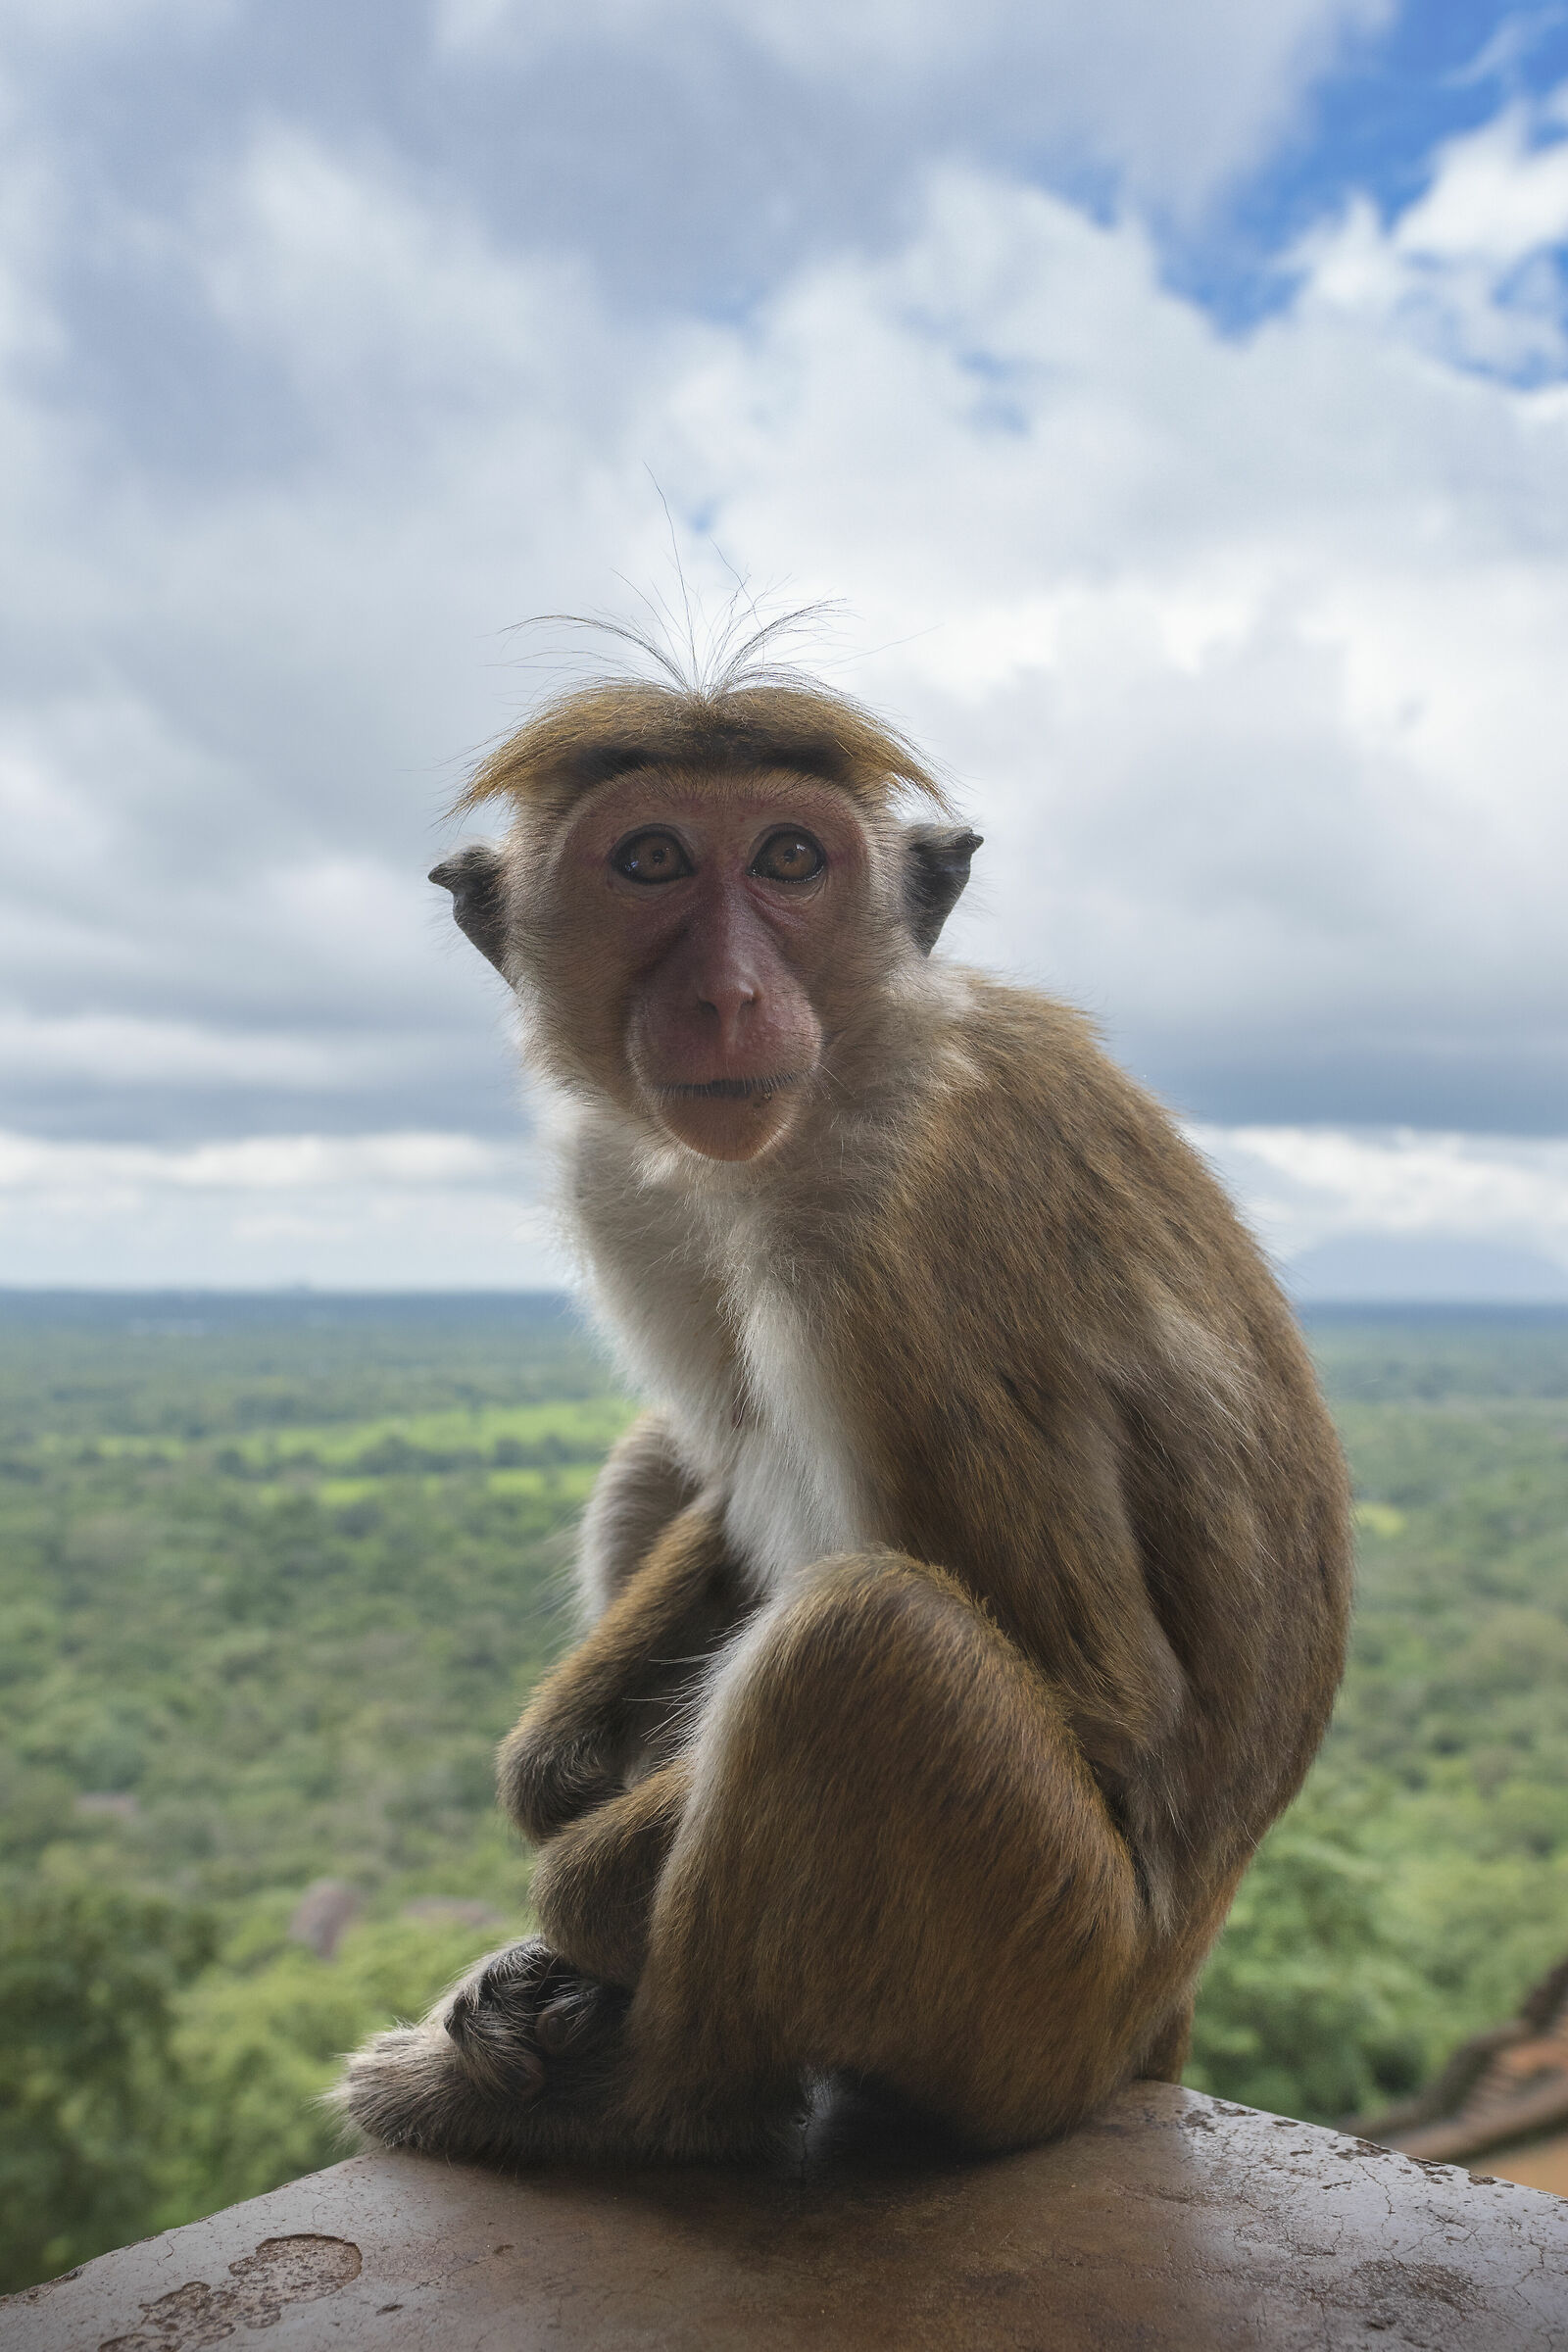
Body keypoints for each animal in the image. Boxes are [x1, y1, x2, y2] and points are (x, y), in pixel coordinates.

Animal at [338, 665, 1352, 2168]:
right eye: (652, 860)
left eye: (790, 860)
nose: (731, 993)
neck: (851, 1066)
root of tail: (1155, 2019)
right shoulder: (621, 1177)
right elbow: (717, 1474)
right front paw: (553, 1766)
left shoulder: (907, 1228)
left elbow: (1106, 1699)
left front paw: (574, 1894)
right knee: (674, 1472)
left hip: (1045, 1988)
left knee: (865, 1652)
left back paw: (644, 2105)